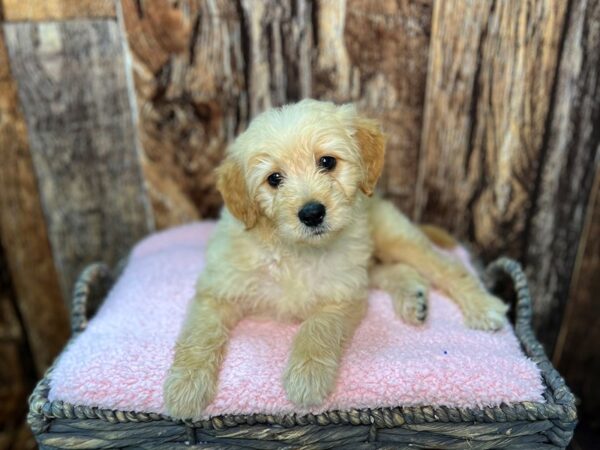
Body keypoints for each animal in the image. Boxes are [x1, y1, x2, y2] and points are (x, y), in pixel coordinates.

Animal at [163, 100, 506, 416]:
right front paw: (184, 388)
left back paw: (482, 306)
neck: (296, 250)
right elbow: (198, 335)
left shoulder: (342, 294)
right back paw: (414, 297)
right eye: (274, 179)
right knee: (393, 271)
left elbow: (318, 328)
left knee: (446, 266)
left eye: (327, 162)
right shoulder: (217, 291)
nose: (312, 213)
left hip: (394, 236)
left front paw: (307, 376)